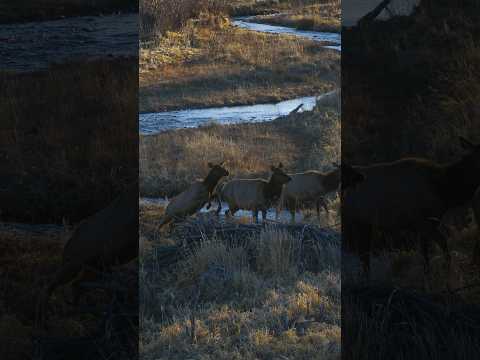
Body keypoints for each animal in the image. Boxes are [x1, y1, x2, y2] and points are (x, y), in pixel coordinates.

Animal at [344, 136, 480, 278]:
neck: (445, 190)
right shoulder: (424, 222)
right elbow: (442, 244)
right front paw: (446, 271)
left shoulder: (426, 225)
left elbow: (425, 253)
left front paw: (428, 274)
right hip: (359, 221)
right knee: (363, 253)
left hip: (365, 223)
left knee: (364, 253)